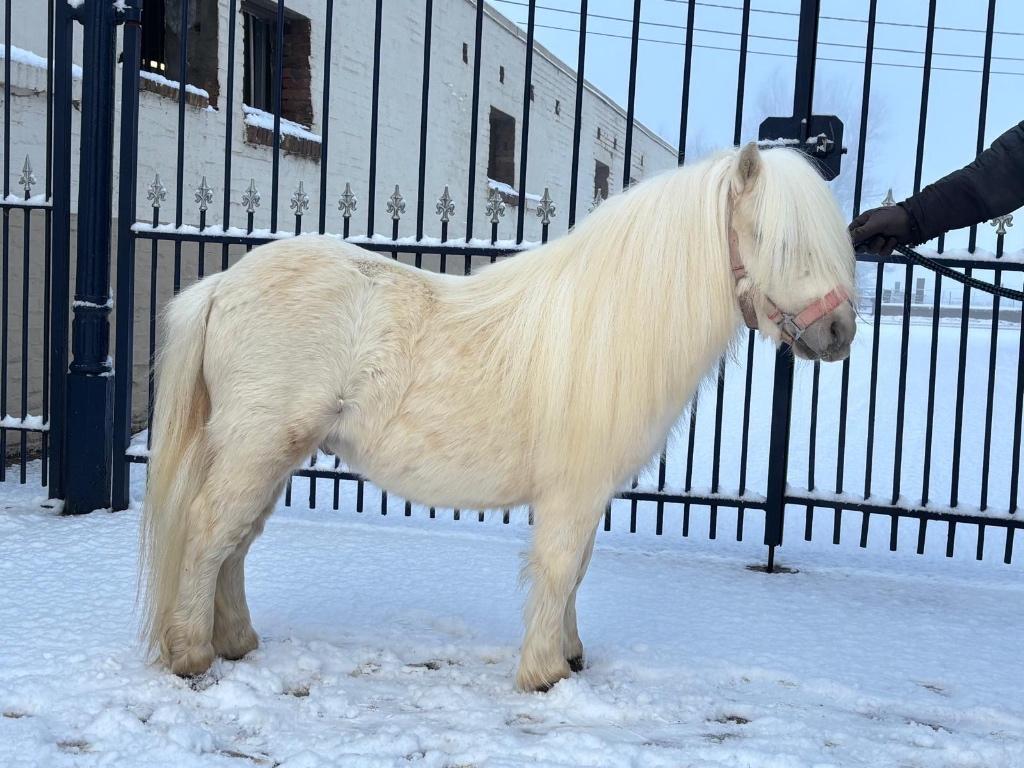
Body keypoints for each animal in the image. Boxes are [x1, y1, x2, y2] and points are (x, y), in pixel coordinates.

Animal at [140, 142, 857, 692]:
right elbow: (561, 568)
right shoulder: (573, 492)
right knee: (209, 533)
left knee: (235, 543)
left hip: (269, 455)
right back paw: (192, 655)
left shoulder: (585, 494)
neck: (608, 326)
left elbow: (577, 570)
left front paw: (569, 655)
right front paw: (544, 673)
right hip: (257, 449)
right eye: (781, 243)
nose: (840, 333)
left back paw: (238, 642)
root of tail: (222, 285)